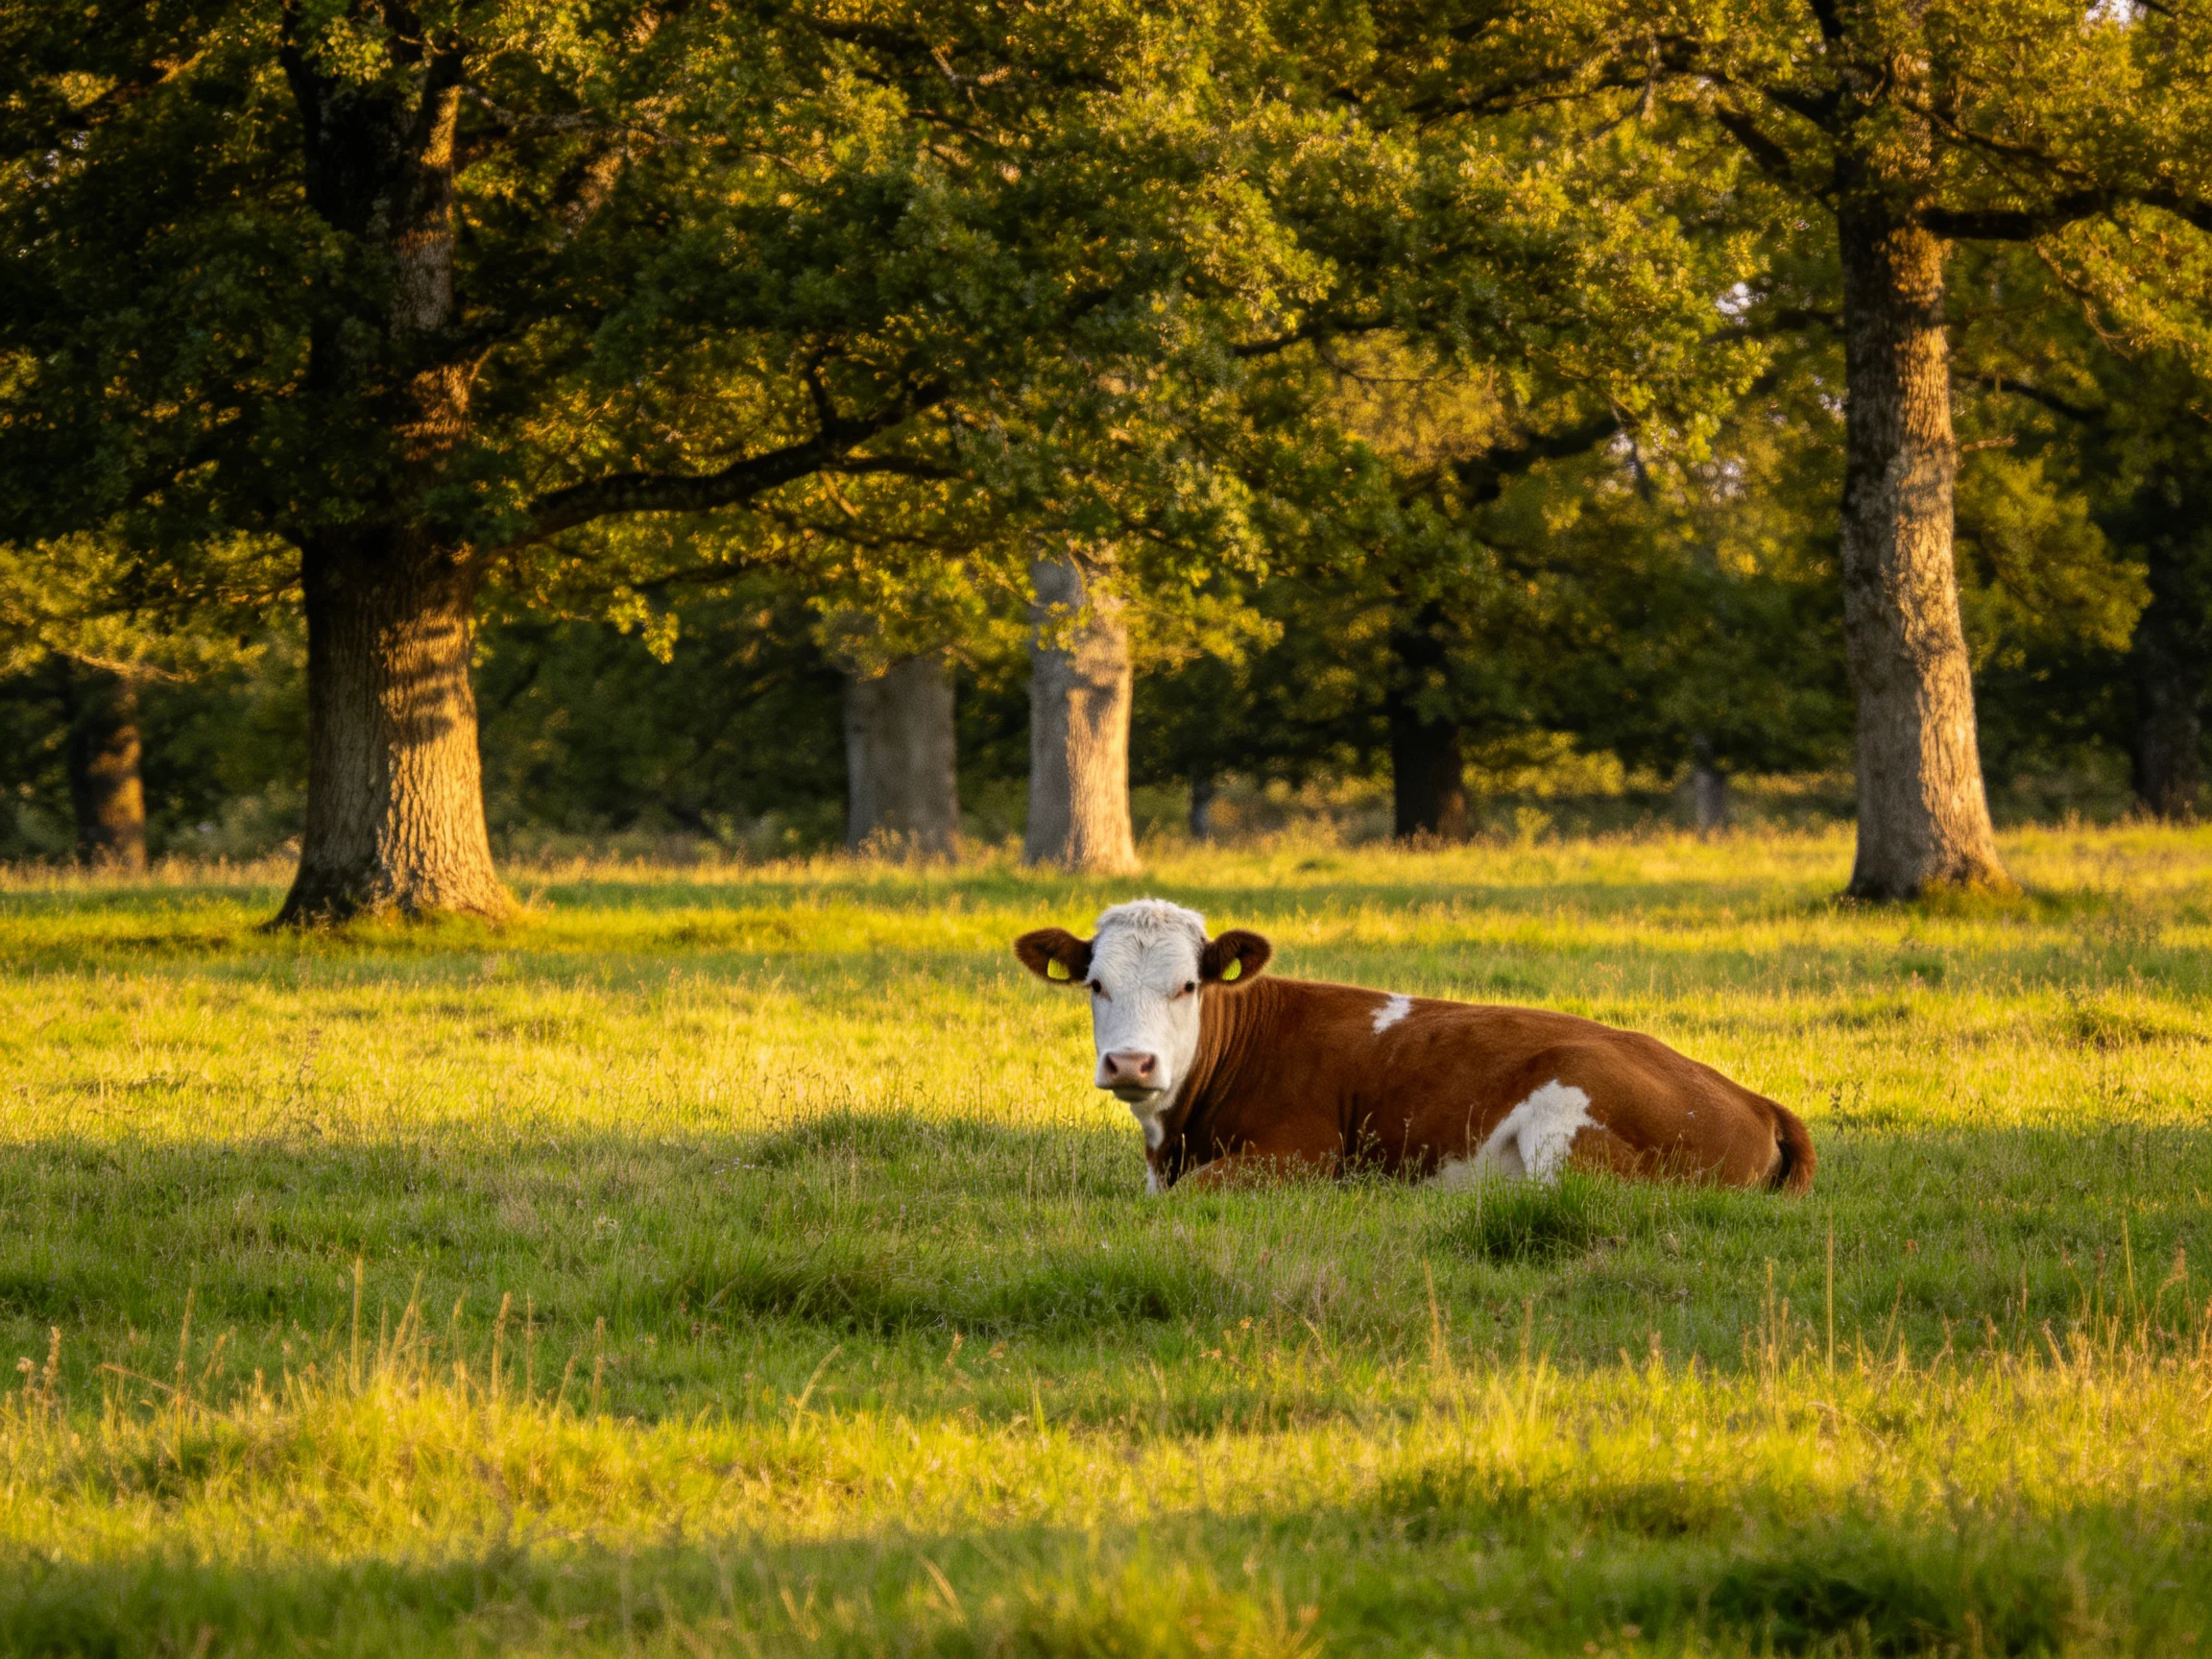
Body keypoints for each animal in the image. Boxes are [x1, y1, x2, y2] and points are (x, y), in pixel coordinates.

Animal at [1015, 898, 1814, 1195]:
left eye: (1187, 986)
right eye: (1095, 984)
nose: (1131, 1063)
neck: (1172, 1139)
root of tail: (1754, 1099)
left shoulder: (1299, 1153)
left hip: (1571, 1120)